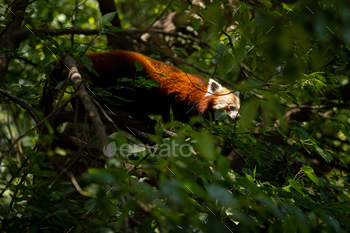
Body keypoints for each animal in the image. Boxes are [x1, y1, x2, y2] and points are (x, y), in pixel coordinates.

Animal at [83, 51, 239, 124]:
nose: (238, 117)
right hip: (129, 76)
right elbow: (180, 114)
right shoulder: (186, 99)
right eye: (231, 107)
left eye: (238, 109)